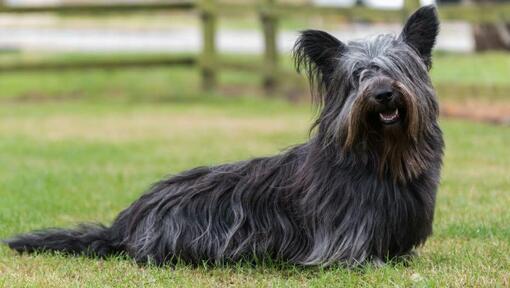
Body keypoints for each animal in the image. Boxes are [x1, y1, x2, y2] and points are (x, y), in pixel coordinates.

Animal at [3, 5, 442, 268]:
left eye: (399, 68)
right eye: (358, 77)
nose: (383, 94)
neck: (379, 157)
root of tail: (124, 225)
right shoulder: (340, 244)